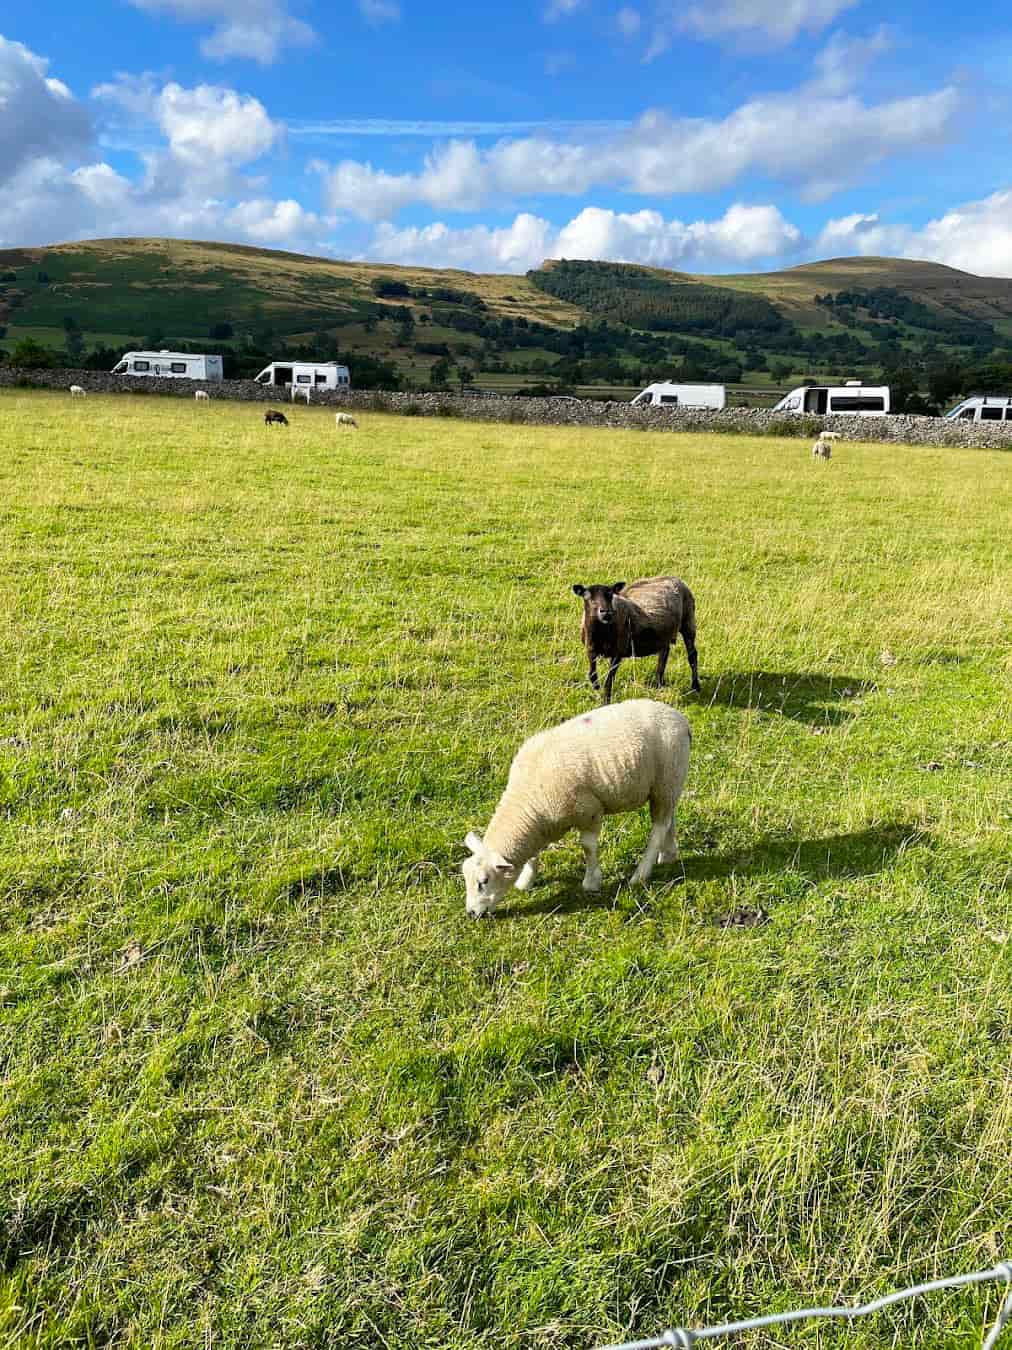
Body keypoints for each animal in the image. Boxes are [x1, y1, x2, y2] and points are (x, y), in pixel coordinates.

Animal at [461, 698, 691, 917]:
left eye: (483, 882)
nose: (472, 914)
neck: (527, 798)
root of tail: (680, 718)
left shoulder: (589, 810)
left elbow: (588, 847)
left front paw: (591, 882)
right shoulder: (542, 825)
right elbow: (533, 854)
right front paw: (526, 880)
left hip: (666, 778)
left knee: (658, 828)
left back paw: (640, 874)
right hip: (669, 785)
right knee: (668, 819)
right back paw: (668, 854)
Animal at [572, 575, 699, 703]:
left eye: (611, 595)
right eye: (587, 597)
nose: (606, 612)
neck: (600, 633)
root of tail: (675, 578)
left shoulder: (618, 652)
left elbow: (609, 681)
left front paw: (606, 701)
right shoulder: (590, 649)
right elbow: (592, 673)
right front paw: (596, 686)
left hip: (688, 620)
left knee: (692, 655)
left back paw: (695, 686)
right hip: (663, 635)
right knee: (664, 653)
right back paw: (659, 683)